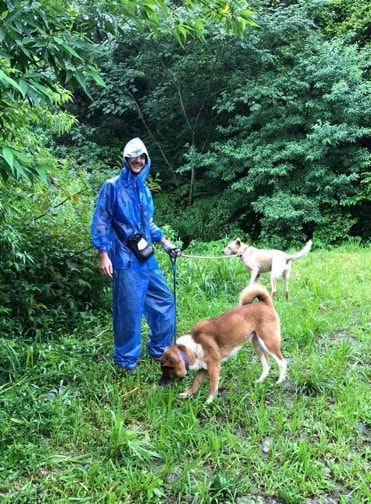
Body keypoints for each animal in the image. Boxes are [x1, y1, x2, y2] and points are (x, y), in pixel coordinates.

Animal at [158, 286, 286, 404]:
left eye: (166, 371)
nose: (159, 384)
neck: (190, 347)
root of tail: (265, 303)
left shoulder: (214, 367)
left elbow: (212, 386)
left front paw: (208, 402)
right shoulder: (202, 369)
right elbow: (194, 384)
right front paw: (187, 394)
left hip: (268, 343)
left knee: (282, 362)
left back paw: (280, 381)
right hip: (258, 344)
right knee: (267, 365)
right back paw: (260, 381)